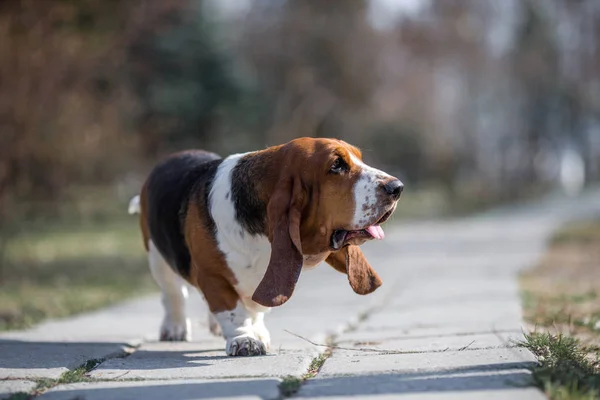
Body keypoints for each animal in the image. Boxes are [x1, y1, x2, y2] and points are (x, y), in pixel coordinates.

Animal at [129, 138, 406, 356]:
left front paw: (257, 331)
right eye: (336, 165)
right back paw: (175, 327)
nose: (397, 187)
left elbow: (256, 307)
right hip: (158, 259)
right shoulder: (212, 276)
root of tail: (169, 159)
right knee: (174, 294)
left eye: (359, 158)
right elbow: (231, 309)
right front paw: (245, 340)